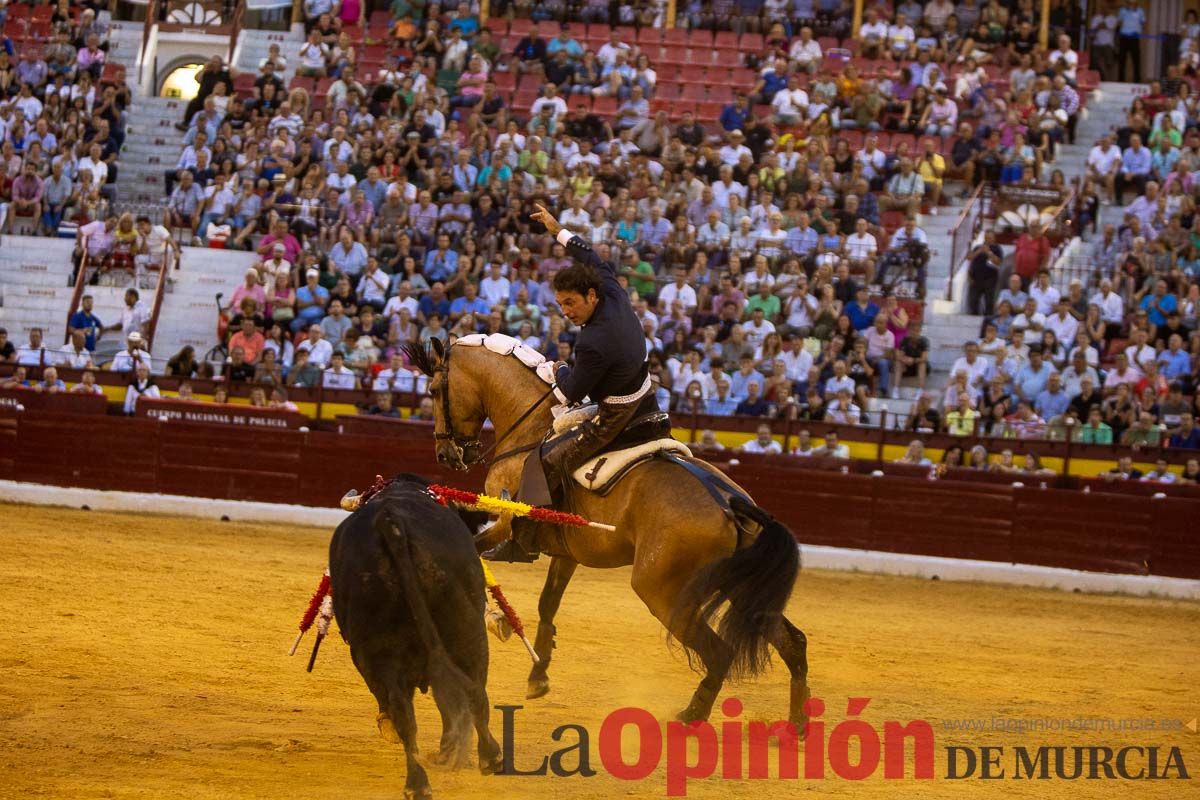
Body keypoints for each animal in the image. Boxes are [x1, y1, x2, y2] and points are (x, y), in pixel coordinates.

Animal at [328, 472, 501, 796]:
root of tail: (391, 523)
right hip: (468, 633)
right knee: (473, 693)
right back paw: (488, 757)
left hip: (377, 649)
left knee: (405, 711)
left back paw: (418, 782)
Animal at [405, 338, 816, 734]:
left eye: (433, 388)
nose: (445, 454)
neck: (533, 427)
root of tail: (730, 501)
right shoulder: (565, 553)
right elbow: (547, 604)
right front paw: (538, 674)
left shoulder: (506, 523)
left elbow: (475, 558)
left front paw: (496, 620)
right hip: (741, 587)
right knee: (793, 643)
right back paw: (795, 725)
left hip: (663, 593)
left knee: (720, 652)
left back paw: (691, 716)